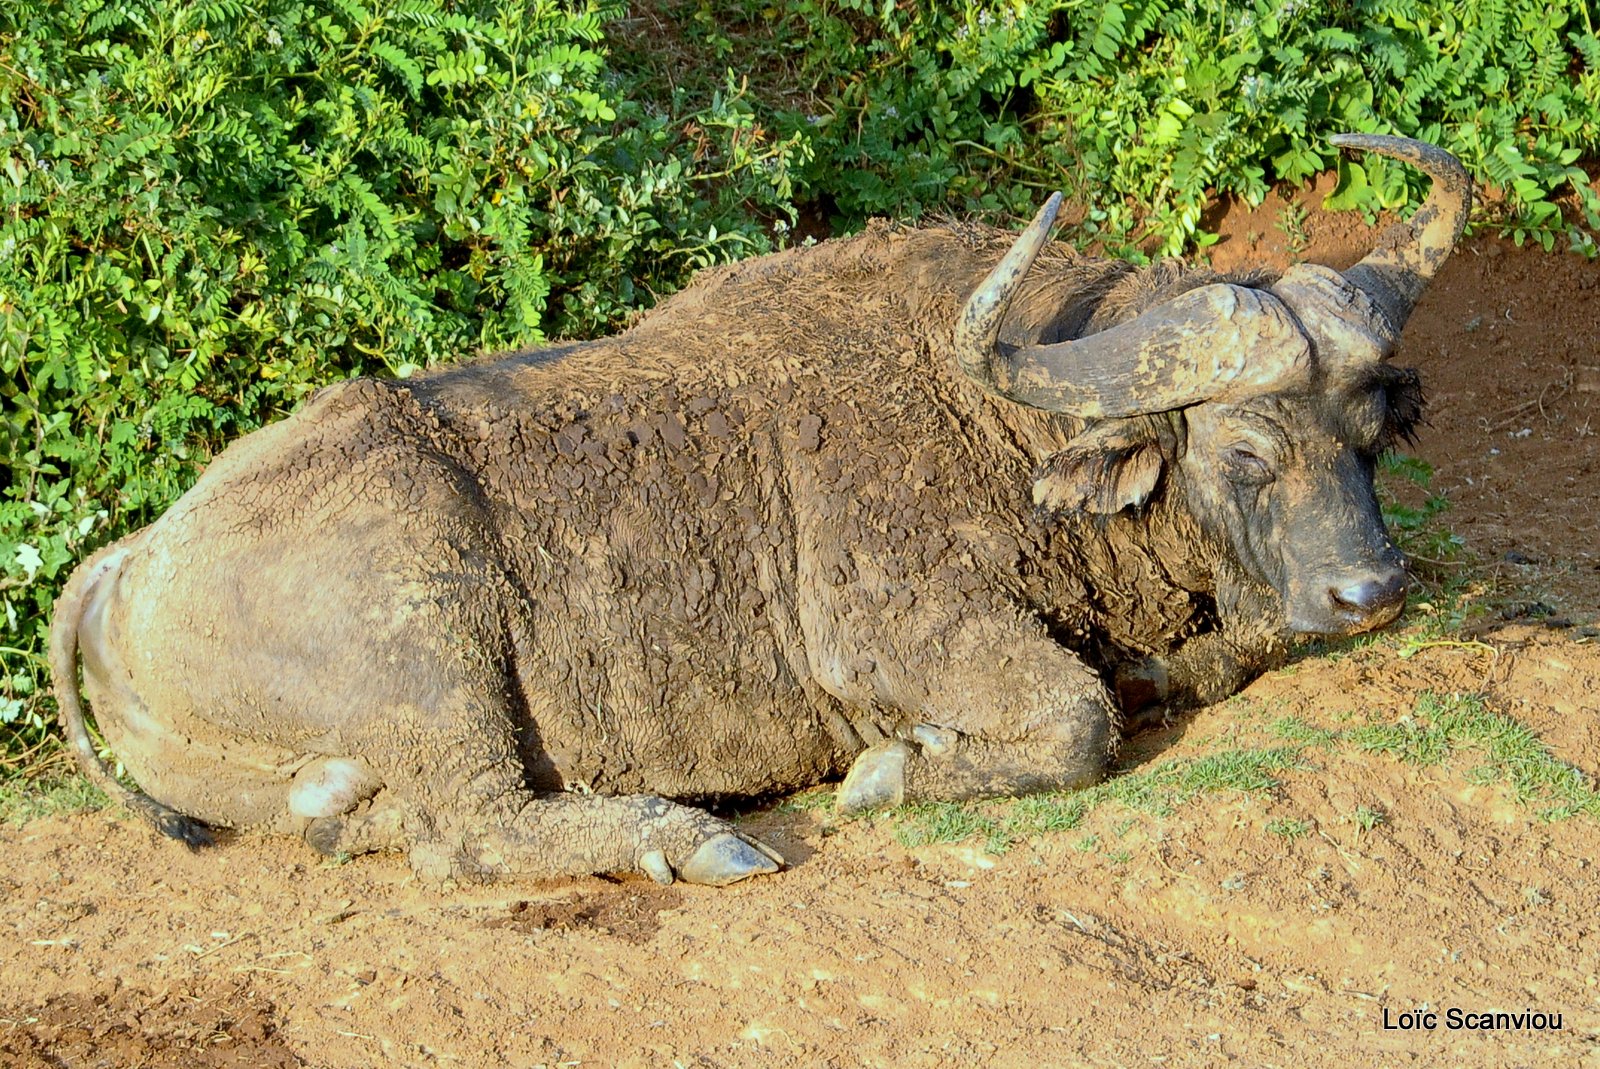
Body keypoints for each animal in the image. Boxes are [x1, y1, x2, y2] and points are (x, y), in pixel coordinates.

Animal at [53, 136, 1472, 883]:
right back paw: (688, 841)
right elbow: (1075, 720)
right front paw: (897, 768)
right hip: (431, 625)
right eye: (1243, 446)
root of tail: (132, 559)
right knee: (470, 831)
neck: (999, 421)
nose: (1372, 589)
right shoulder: (898, 633)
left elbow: (1228, 645)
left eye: (1367, 430)